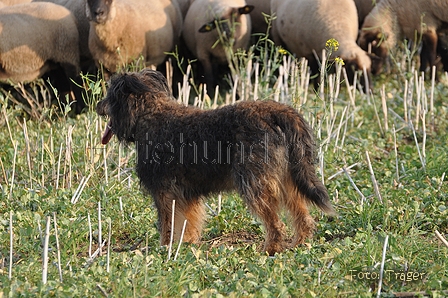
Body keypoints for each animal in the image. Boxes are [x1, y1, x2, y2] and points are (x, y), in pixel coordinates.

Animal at [98, 68, 336, 255]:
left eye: (110, 96)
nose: (98, 106)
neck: (150, 113)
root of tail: (274, 112)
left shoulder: (164, 192)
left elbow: (168, 224)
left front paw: (164, 248)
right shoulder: (187, 195)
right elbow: (189, 224)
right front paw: (186, 246)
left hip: (255, 182)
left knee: (275, 223)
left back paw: (271, 249)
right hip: (287, 178)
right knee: (302, 216)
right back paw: (300, 244)